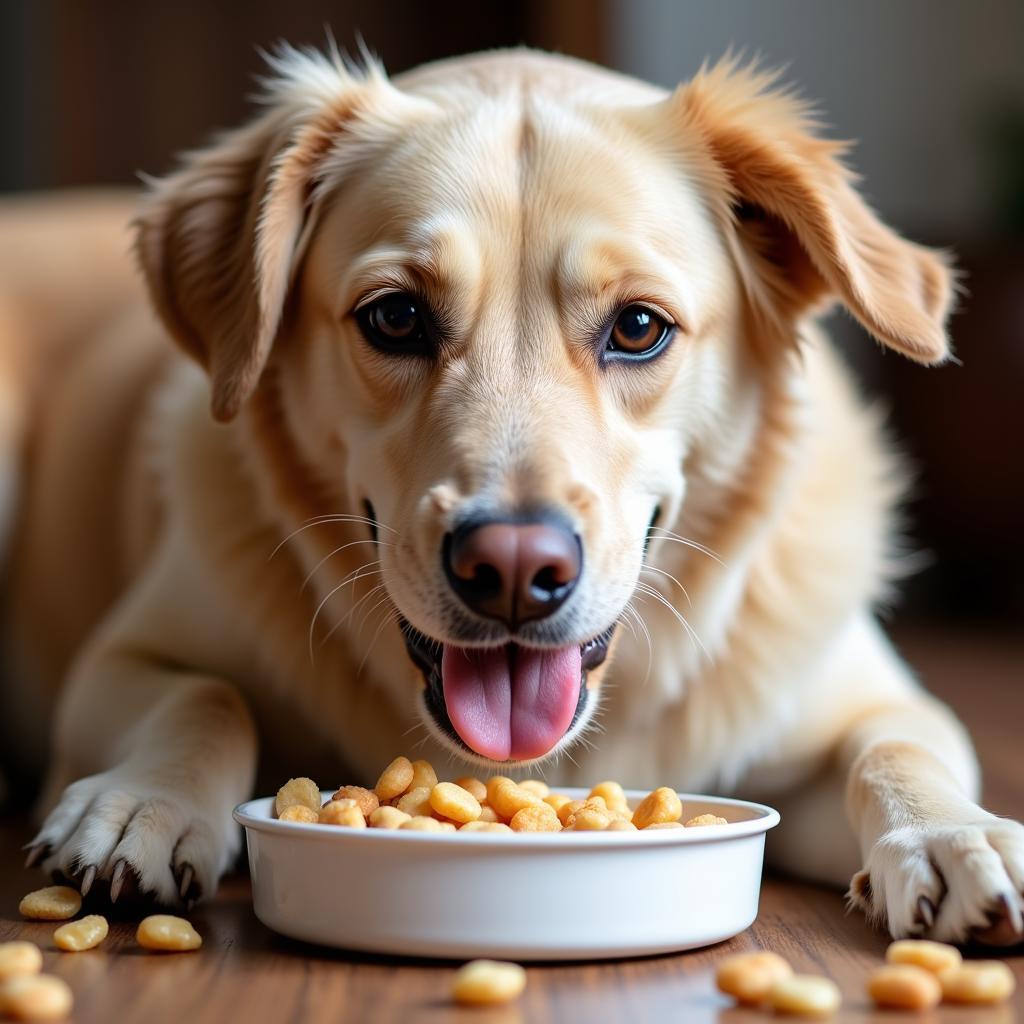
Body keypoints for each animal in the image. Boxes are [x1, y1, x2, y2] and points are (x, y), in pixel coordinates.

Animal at [0, 46, 1019, 942]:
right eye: (395, 316)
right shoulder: (126, 655)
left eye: (639, 327)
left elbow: (898, 746)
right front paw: (142, 802)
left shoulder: (860, 702)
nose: (516, 571)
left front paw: (955, 837)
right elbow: (207, 697)